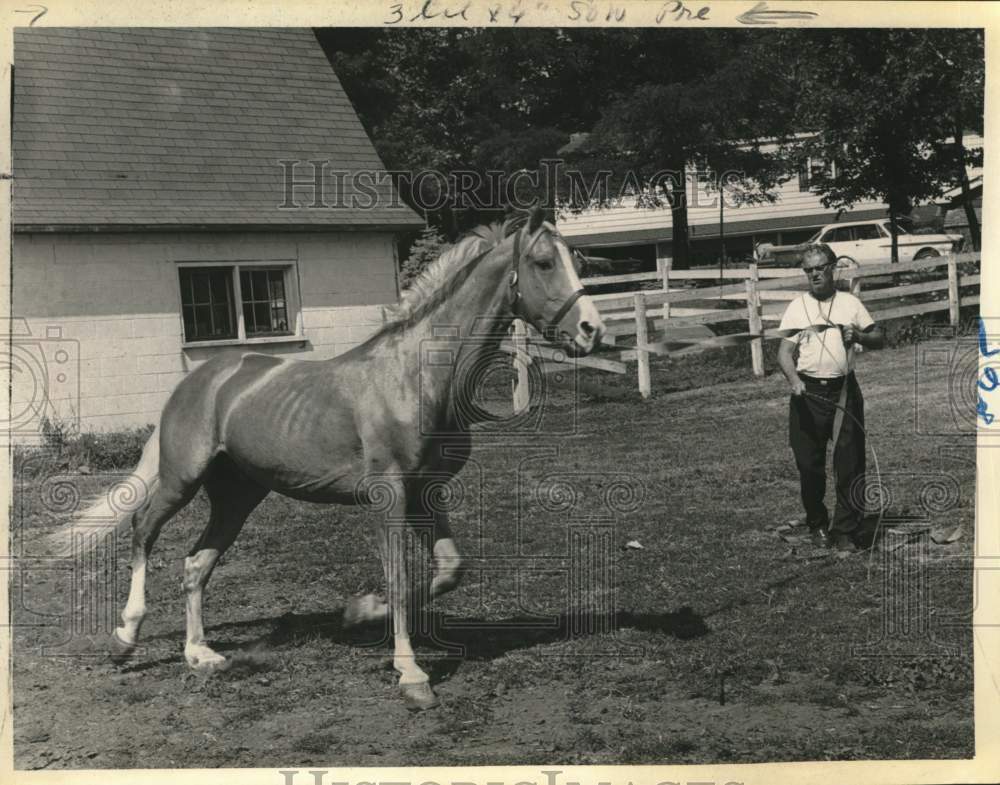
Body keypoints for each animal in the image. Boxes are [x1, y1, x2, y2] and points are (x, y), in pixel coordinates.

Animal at [47, 208, 600, 712]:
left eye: (577, 260)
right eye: (544, 262)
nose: (592, 330)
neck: (417, 379)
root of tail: (198, 380)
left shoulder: (427, 493)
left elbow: (449, 569)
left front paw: (361, 612)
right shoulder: (389, 496)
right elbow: (400, 578)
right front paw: (411, 673)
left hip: (238, 495)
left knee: (195, 563)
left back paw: (200, 654)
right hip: (182, 477)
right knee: (144, 529)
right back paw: (125, 638)